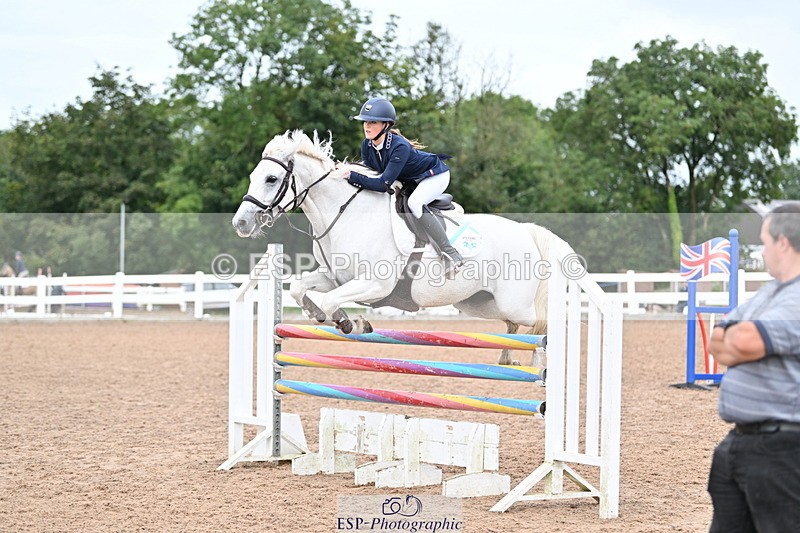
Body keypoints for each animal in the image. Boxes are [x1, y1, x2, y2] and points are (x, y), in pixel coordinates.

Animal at [232, 130, 574, 365]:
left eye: (271, 178)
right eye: (252, 176)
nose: (241, 223)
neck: (346, 214)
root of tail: (526, 231)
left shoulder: (374, 284)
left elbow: (330, 301)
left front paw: (352, 322)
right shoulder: (335, 276)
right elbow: (300, 288)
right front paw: (334, 318)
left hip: (514, 302)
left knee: (541, 320)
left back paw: (537, 359)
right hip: (479, 303)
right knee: (513, 324)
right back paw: (508, 356)